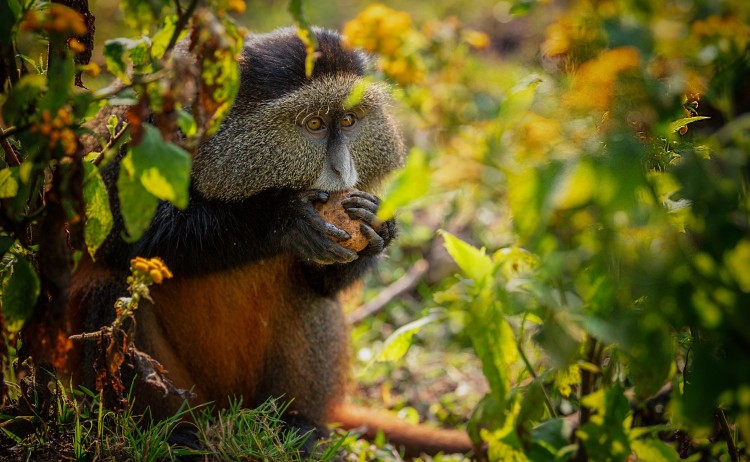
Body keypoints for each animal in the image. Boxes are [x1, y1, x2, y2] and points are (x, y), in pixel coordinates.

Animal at [67, 26, 475, 457]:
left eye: (348, 121)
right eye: (314, 124)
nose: (342, 168)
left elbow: (322, 285)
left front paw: (379, 228)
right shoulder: (129, 141)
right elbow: (120, 236)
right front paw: (282, 219)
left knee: (309, 301)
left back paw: (298, 426)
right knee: (115, 291)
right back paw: (170, 432)